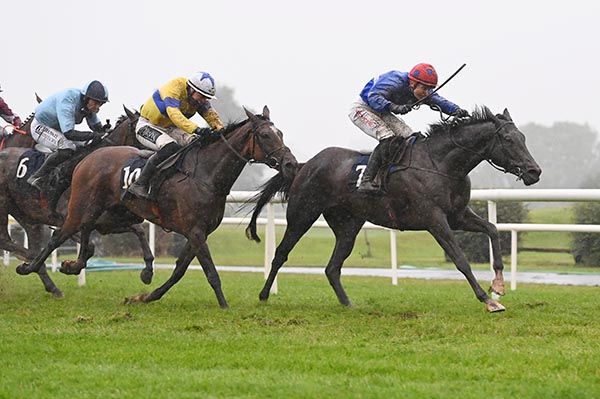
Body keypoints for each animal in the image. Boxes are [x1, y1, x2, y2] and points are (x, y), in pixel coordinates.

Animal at [0, 111, 155, 298]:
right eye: (144, 132)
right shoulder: (68, 218)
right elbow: (86, 244)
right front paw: (69, 265)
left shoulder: (104, 223)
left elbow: (138, 230)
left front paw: (147, 271)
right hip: (4, 204)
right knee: (5, 240)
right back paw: (30, 261)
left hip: (25, 213)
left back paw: (50, 285)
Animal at [17, 106, 298, 310]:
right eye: (265, 135)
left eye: (282, 134)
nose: (290, 164)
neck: (206, 175)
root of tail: (89, 158)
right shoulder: (195, 231)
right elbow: (210, 271)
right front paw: (224, 306)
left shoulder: (198, 233)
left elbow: (179, 270)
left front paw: (146, 296)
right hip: (82, 206)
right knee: (59, 235)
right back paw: (28, 267)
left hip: (109, 214)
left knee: (88, 232)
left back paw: (74, 265)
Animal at [248, 108, 544, 314]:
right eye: (508, 139)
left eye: (523, 137)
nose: (534, 171)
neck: (441, 164)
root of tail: (304, 165)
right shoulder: (435, 220)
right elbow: (460, 258)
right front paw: (487, 300)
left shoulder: (457, 215)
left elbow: (492, 230)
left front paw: (499, 285)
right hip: (303, 214)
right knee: (281, 254)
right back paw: (263, 295)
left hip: (348, 225)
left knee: (332, 268)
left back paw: (348, 304)